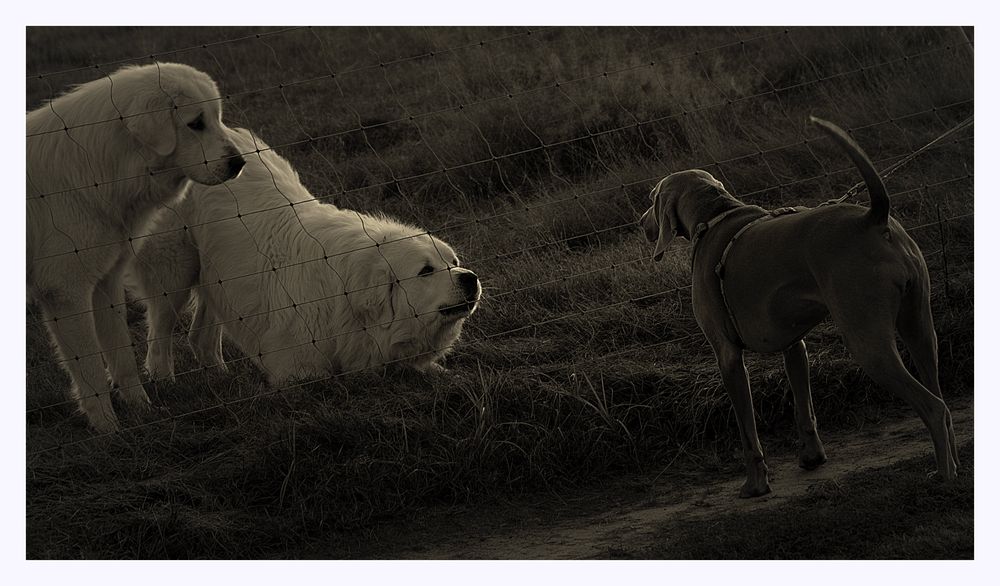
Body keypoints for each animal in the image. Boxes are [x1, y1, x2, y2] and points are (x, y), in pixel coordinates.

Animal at [27, 64, 246, 432]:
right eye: (195, 123)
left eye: (216, 118)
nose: (239, 163)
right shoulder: (67, 293)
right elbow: (91, 372)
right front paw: (108, 431)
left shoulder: (105, 283)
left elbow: (122, 358)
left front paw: (142, 412)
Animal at [126, 128, 480, 384]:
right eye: (425, 271)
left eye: (453, 263)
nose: (471, 279)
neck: (348, 295)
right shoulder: (299, 367)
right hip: (174, 267)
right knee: (160, 330)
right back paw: (163, 380)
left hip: (218, 275)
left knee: (201, 334)